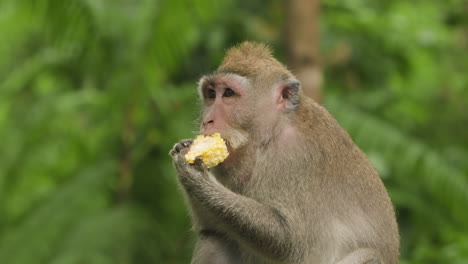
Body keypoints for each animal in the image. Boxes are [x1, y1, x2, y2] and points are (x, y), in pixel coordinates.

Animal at [168, 42, 398, 262]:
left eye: (228, 94)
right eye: (211, 94)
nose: (207, 120)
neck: (269, 136)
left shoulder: (296, 156)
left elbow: (290, 240)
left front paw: (196, 177)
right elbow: (211, 228)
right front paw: (183, 150)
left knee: (370, 255)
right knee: (214, 240)